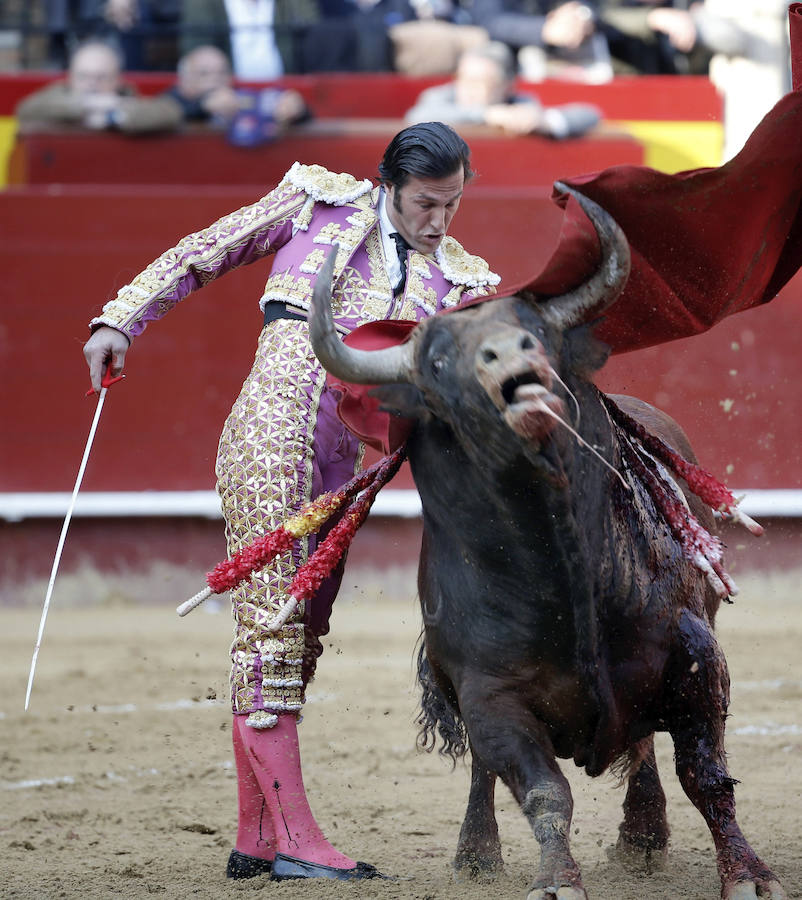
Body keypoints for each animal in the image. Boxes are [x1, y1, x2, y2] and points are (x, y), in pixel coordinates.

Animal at [310, 192, 784, 900]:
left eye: (537, 329)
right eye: (439, 363)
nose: (510, 353)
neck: (556, 563)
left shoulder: (695, 657)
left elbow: (706, 777)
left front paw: (748, 875)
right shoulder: (490, 696)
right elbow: (542, 792)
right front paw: (556, 880)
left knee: (642, 745)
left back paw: (643, 836)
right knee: (487, 772)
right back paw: (476, 854)